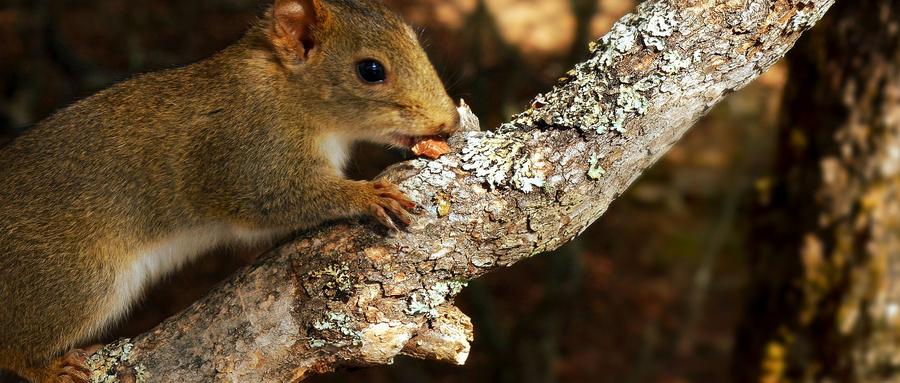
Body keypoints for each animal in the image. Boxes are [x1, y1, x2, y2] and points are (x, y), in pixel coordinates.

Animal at [0, 0, 460, 380]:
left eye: (415, 40)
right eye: (370, 70)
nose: (448, 122)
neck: (287, 92)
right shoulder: (247, 157)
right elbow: (276, 202)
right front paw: (367, 195)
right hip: (75, 280)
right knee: (14, 350)